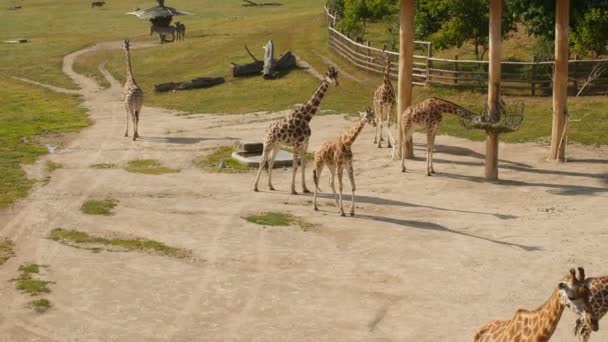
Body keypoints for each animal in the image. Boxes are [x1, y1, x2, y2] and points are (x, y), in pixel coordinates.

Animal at [252, 67, 338, 195]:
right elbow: (295, 166)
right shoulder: (297, 144)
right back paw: (255, 187)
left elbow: (302, 165)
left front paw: (305, 188)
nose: (335, 83)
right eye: (328, 75)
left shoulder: (305, 144)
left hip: (277, 145)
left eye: (336, 76)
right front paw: (293, 190)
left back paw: (271, 186)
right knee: (262, 161)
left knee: (271, 161)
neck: (306, 118)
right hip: (267, 143)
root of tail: (267, 129)